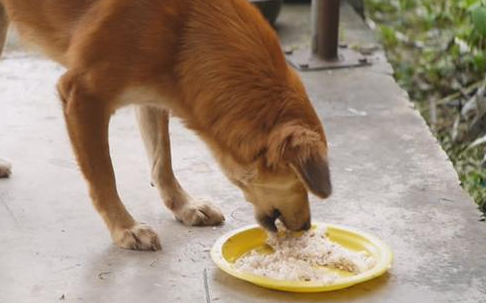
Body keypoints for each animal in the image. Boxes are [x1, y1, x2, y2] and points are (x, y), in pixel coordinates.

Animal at [0, 0, 330, 252]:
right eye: (302, 181)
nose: (306, 226)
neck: (186, 30)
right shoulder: (82, 96)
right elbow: (103, 176)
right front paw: (125, 227)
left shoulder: (154, 94)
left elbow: (162, 161)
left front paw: (185, 207)